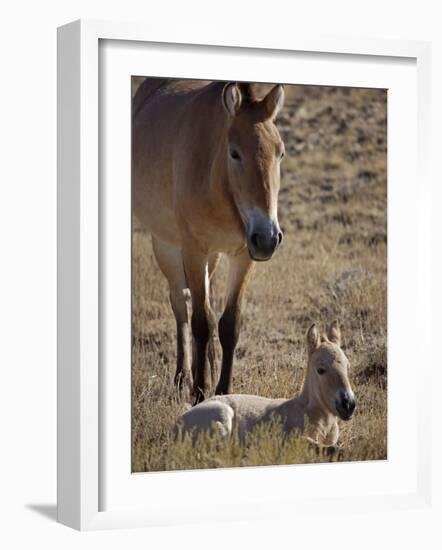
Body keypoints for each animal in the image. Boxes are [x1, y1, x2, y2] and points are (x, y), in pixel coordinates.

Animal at [133, 78, 284, 406]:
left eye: (280, 153)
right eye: (235, 153)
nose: (268, 238)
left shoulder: (242, 255)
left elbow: (228, 323)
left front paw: (223, 389)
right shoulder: (193, 250)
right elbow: (201, 322)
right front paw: (200, 392)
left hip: (213, 258)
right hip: (166, 246)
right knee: (182, 304)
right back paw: (182, 378)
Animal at [176, 324, 356, 448]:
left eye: (348, 366)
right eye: (321, 369)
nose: (348, 404)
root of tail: (176, 424)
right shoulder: (292, 439)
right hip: (223, 418)